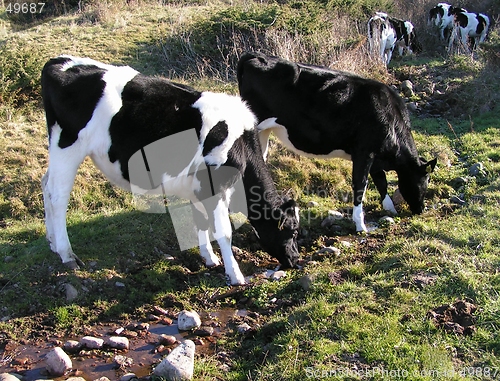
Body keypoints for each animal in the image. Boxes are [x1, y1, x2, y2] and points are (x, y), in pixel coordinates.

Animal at [41, 55, 298, 284]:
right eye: (292, 231)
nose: (295, 260)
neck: (240, 143)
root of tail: (60, 61)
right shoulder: (214, 186)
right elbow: (223, 231)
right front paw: (235, 275)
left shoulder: (198, 187)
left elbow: (201, 220)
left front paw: (209, 257)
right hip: (68, 145)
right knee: (58, 196)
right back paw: (66, 253)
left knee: (46, 184)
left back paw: (52, 242)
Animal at [236, 51, 436, 232]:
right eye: (425, 182)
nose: (421, 209)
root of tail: (257, 56)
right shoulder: (364, 152)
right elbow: (360, 186)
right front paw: (361, 225)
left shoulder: (374, 156)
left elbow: (381, 181)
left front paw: (389, 208)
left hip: (263, 132)